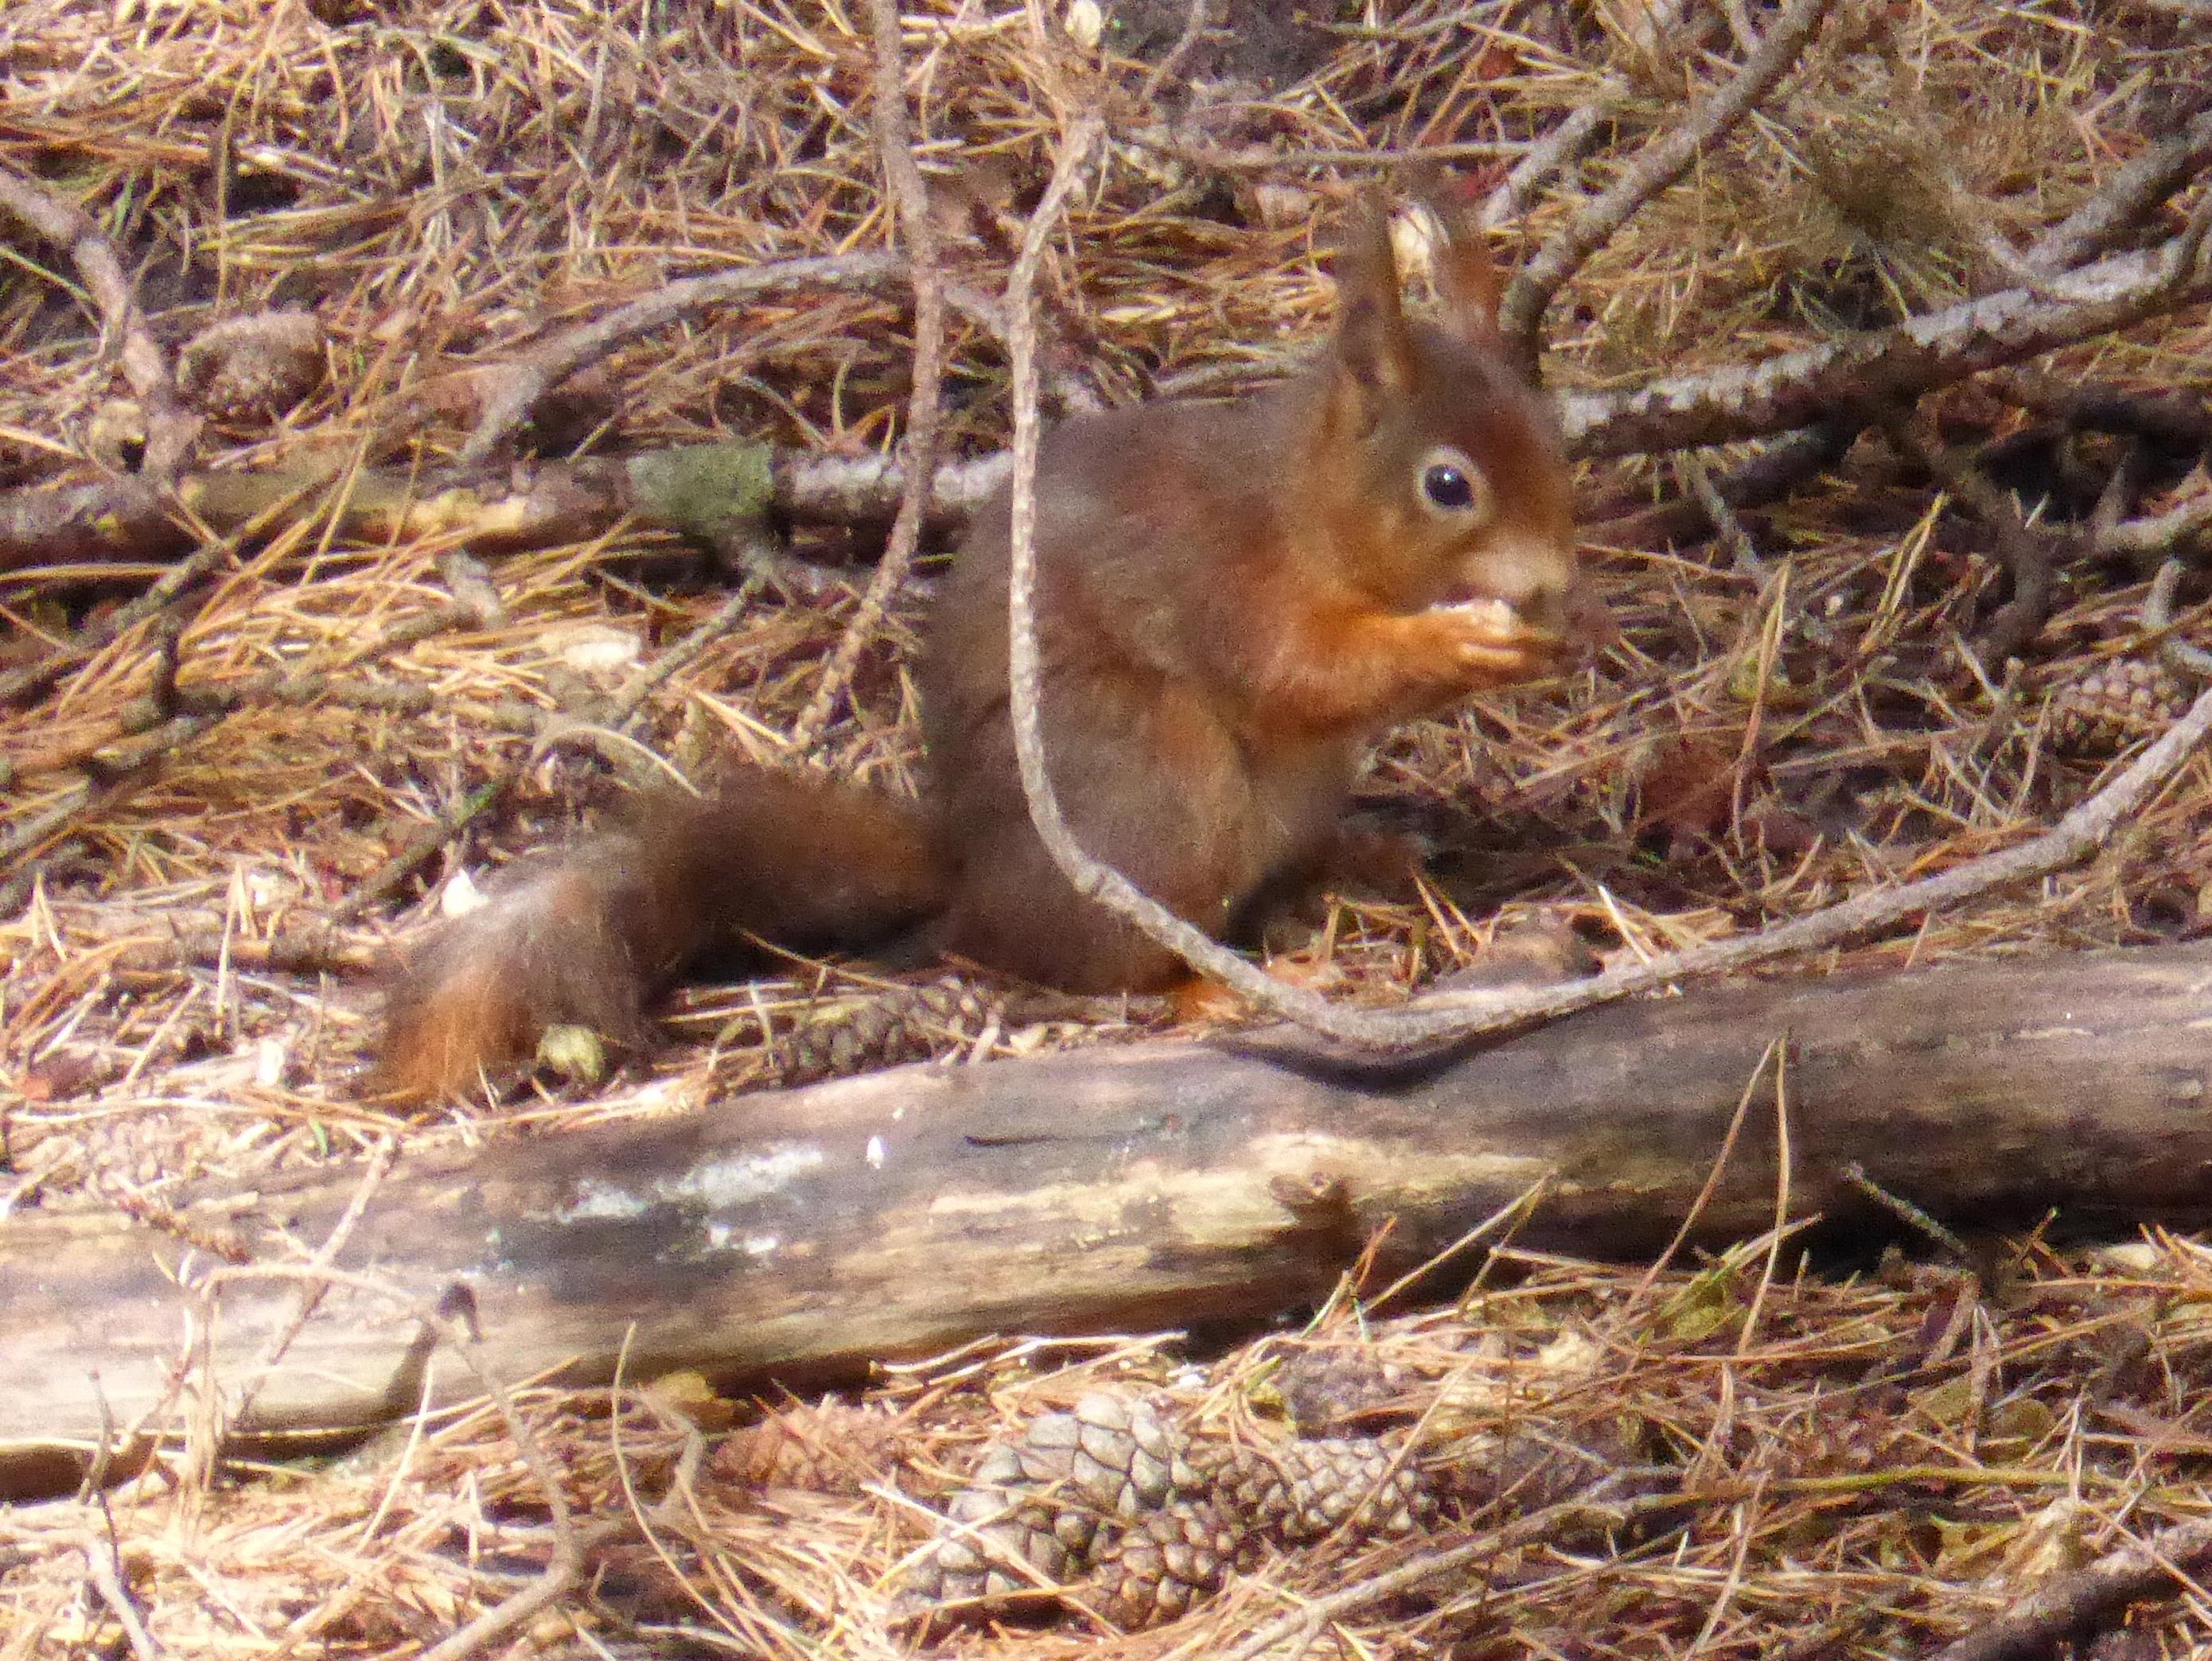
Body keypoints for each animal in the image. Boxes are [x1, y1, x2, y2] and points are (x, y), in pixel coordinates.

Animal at [371, 196, 1580, 1102]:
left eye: (1552, 438)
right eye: (1447, 485)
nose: (1556, 583)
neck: (1304, 508)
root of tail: (971, 868)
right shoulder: (1222, 582)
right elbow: (1302, 670)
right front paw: (1462, 645)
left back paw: (1366, 854)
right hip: (1152, 800)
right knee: (1074, 960)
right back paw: (1200, 988)